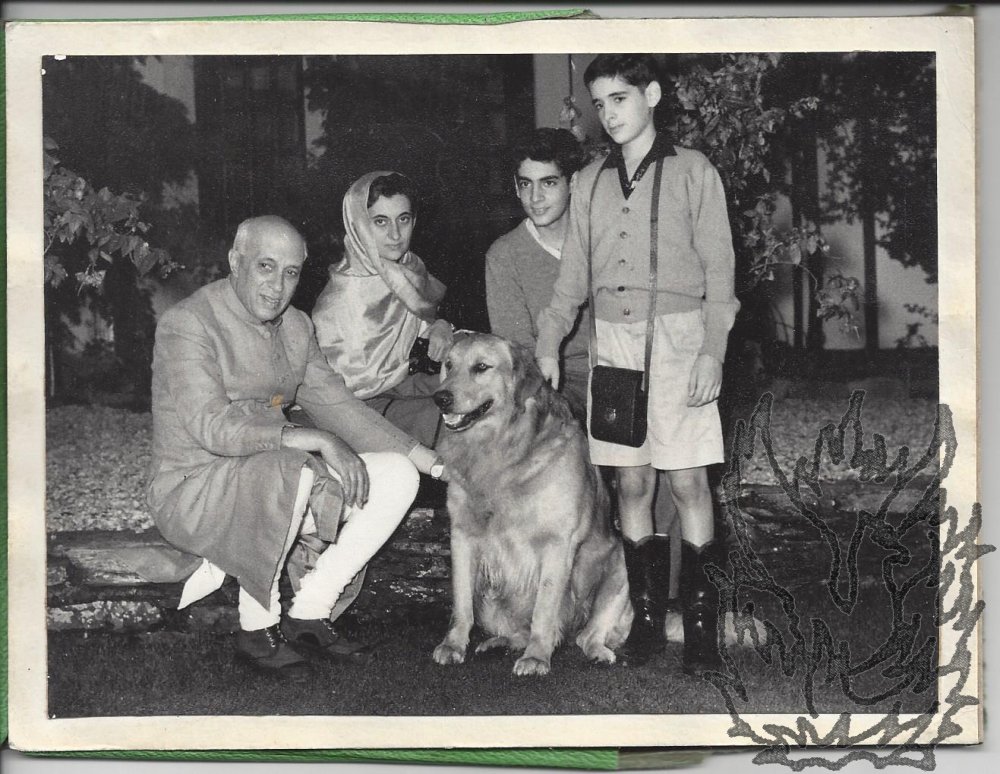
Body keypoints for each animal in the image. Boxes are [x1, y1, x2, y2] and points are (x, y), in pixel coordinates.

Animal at [430, 336, 632, 676]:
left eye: (481, 367)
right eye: (448, 365)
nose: (440, 397)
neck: (502, 450)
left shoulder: (558, 543)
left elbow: (545, 608)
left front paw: (537, 657)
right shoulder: (462, 535)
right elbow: (461, 602)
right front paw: (454, 645)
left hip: (620, 566)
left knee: (586, 635)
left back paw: (594, 651)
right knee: (515, 632)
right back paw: (498, 643)